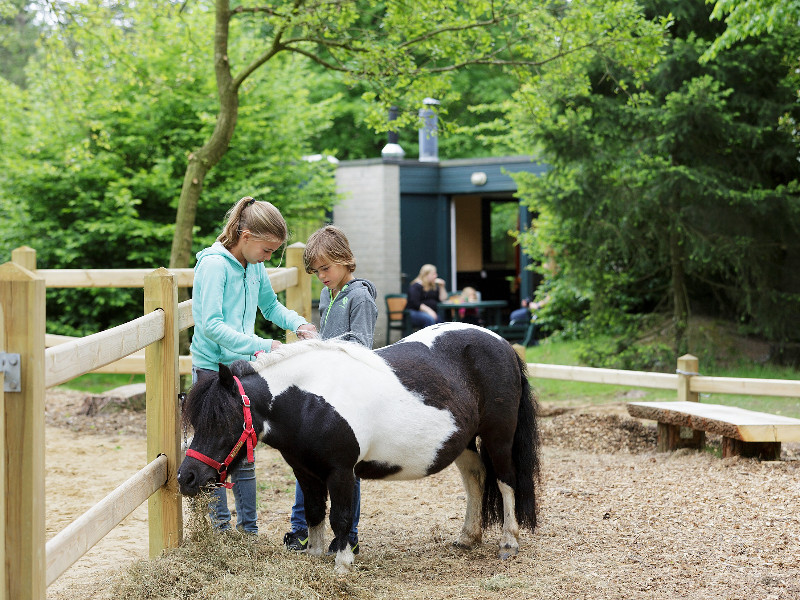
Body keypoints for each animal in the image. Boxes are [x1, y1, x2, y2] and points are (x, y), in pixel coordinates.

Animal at [178, 324, 540, 572]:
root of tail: (502, 344)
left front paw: (342, 565)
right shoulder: (305, 471)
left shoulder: (341, 472)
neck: (309, 400)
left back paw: (509, 541)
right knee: (475, 477)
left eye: (224, 421)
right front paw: (315, 557)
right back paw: (467, 537)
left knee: (506, 481)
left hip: (498, 438)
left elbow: (339, 517)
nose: (186, 478)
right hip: (462, 442)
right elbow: (314, 512)